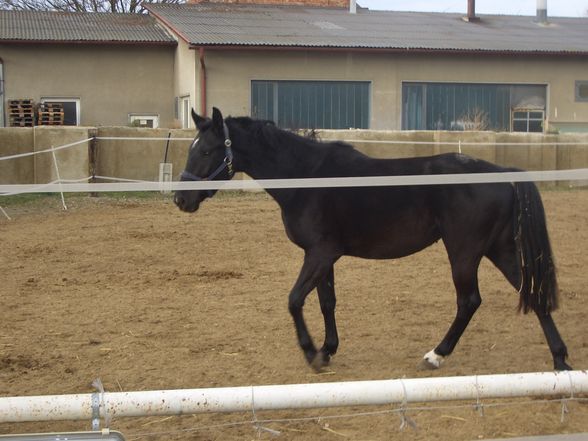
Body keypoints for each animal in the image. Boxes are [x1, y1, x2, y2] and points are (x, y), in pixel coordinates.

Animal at [173, 107, 568, 372]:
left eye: (206, 150)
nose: (181, 199)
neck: (308, 177)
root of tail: (502, 173)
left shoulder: (319, 253)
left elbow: (294, 300)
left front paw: (311, 353)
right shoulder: (325, 256)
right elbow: (326, 302)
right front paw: (328, 348)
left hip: (464, 252)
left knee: (469, 301)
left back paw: (436, 355)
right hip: (498, 250)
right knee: (532, 293)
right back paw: (560, 359)